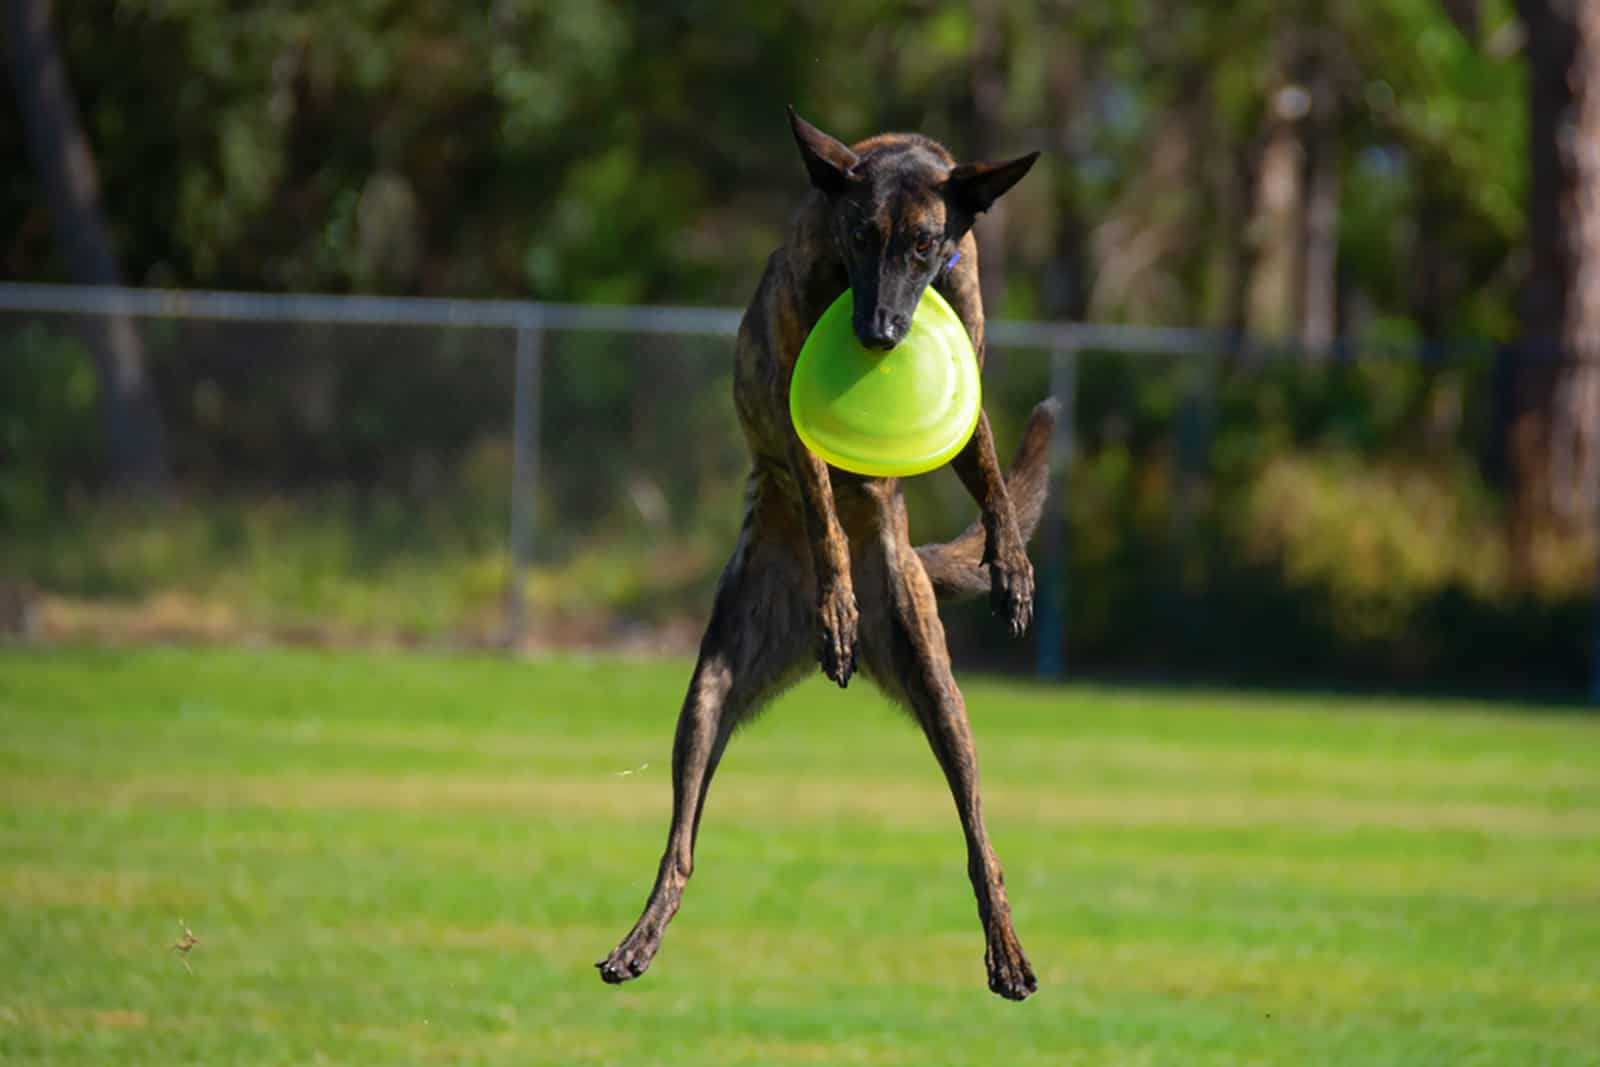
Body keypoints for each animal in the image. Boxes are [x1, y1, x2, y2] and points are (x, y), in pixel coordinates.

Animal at [595, 108, 1056, 1004]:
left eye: (924, 244)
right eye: (860, 233)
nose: (877, 333)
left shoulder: (969, 365)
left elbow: (986, 465)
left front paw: (1012, 565)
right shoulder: (790, 402)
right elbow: (819, 499)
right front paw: (838, 593)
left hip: (940, 692)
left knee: (981, 843)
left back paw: (1007, 950)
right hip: (708, 695)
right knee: (681, 846)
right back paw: (639, 938)